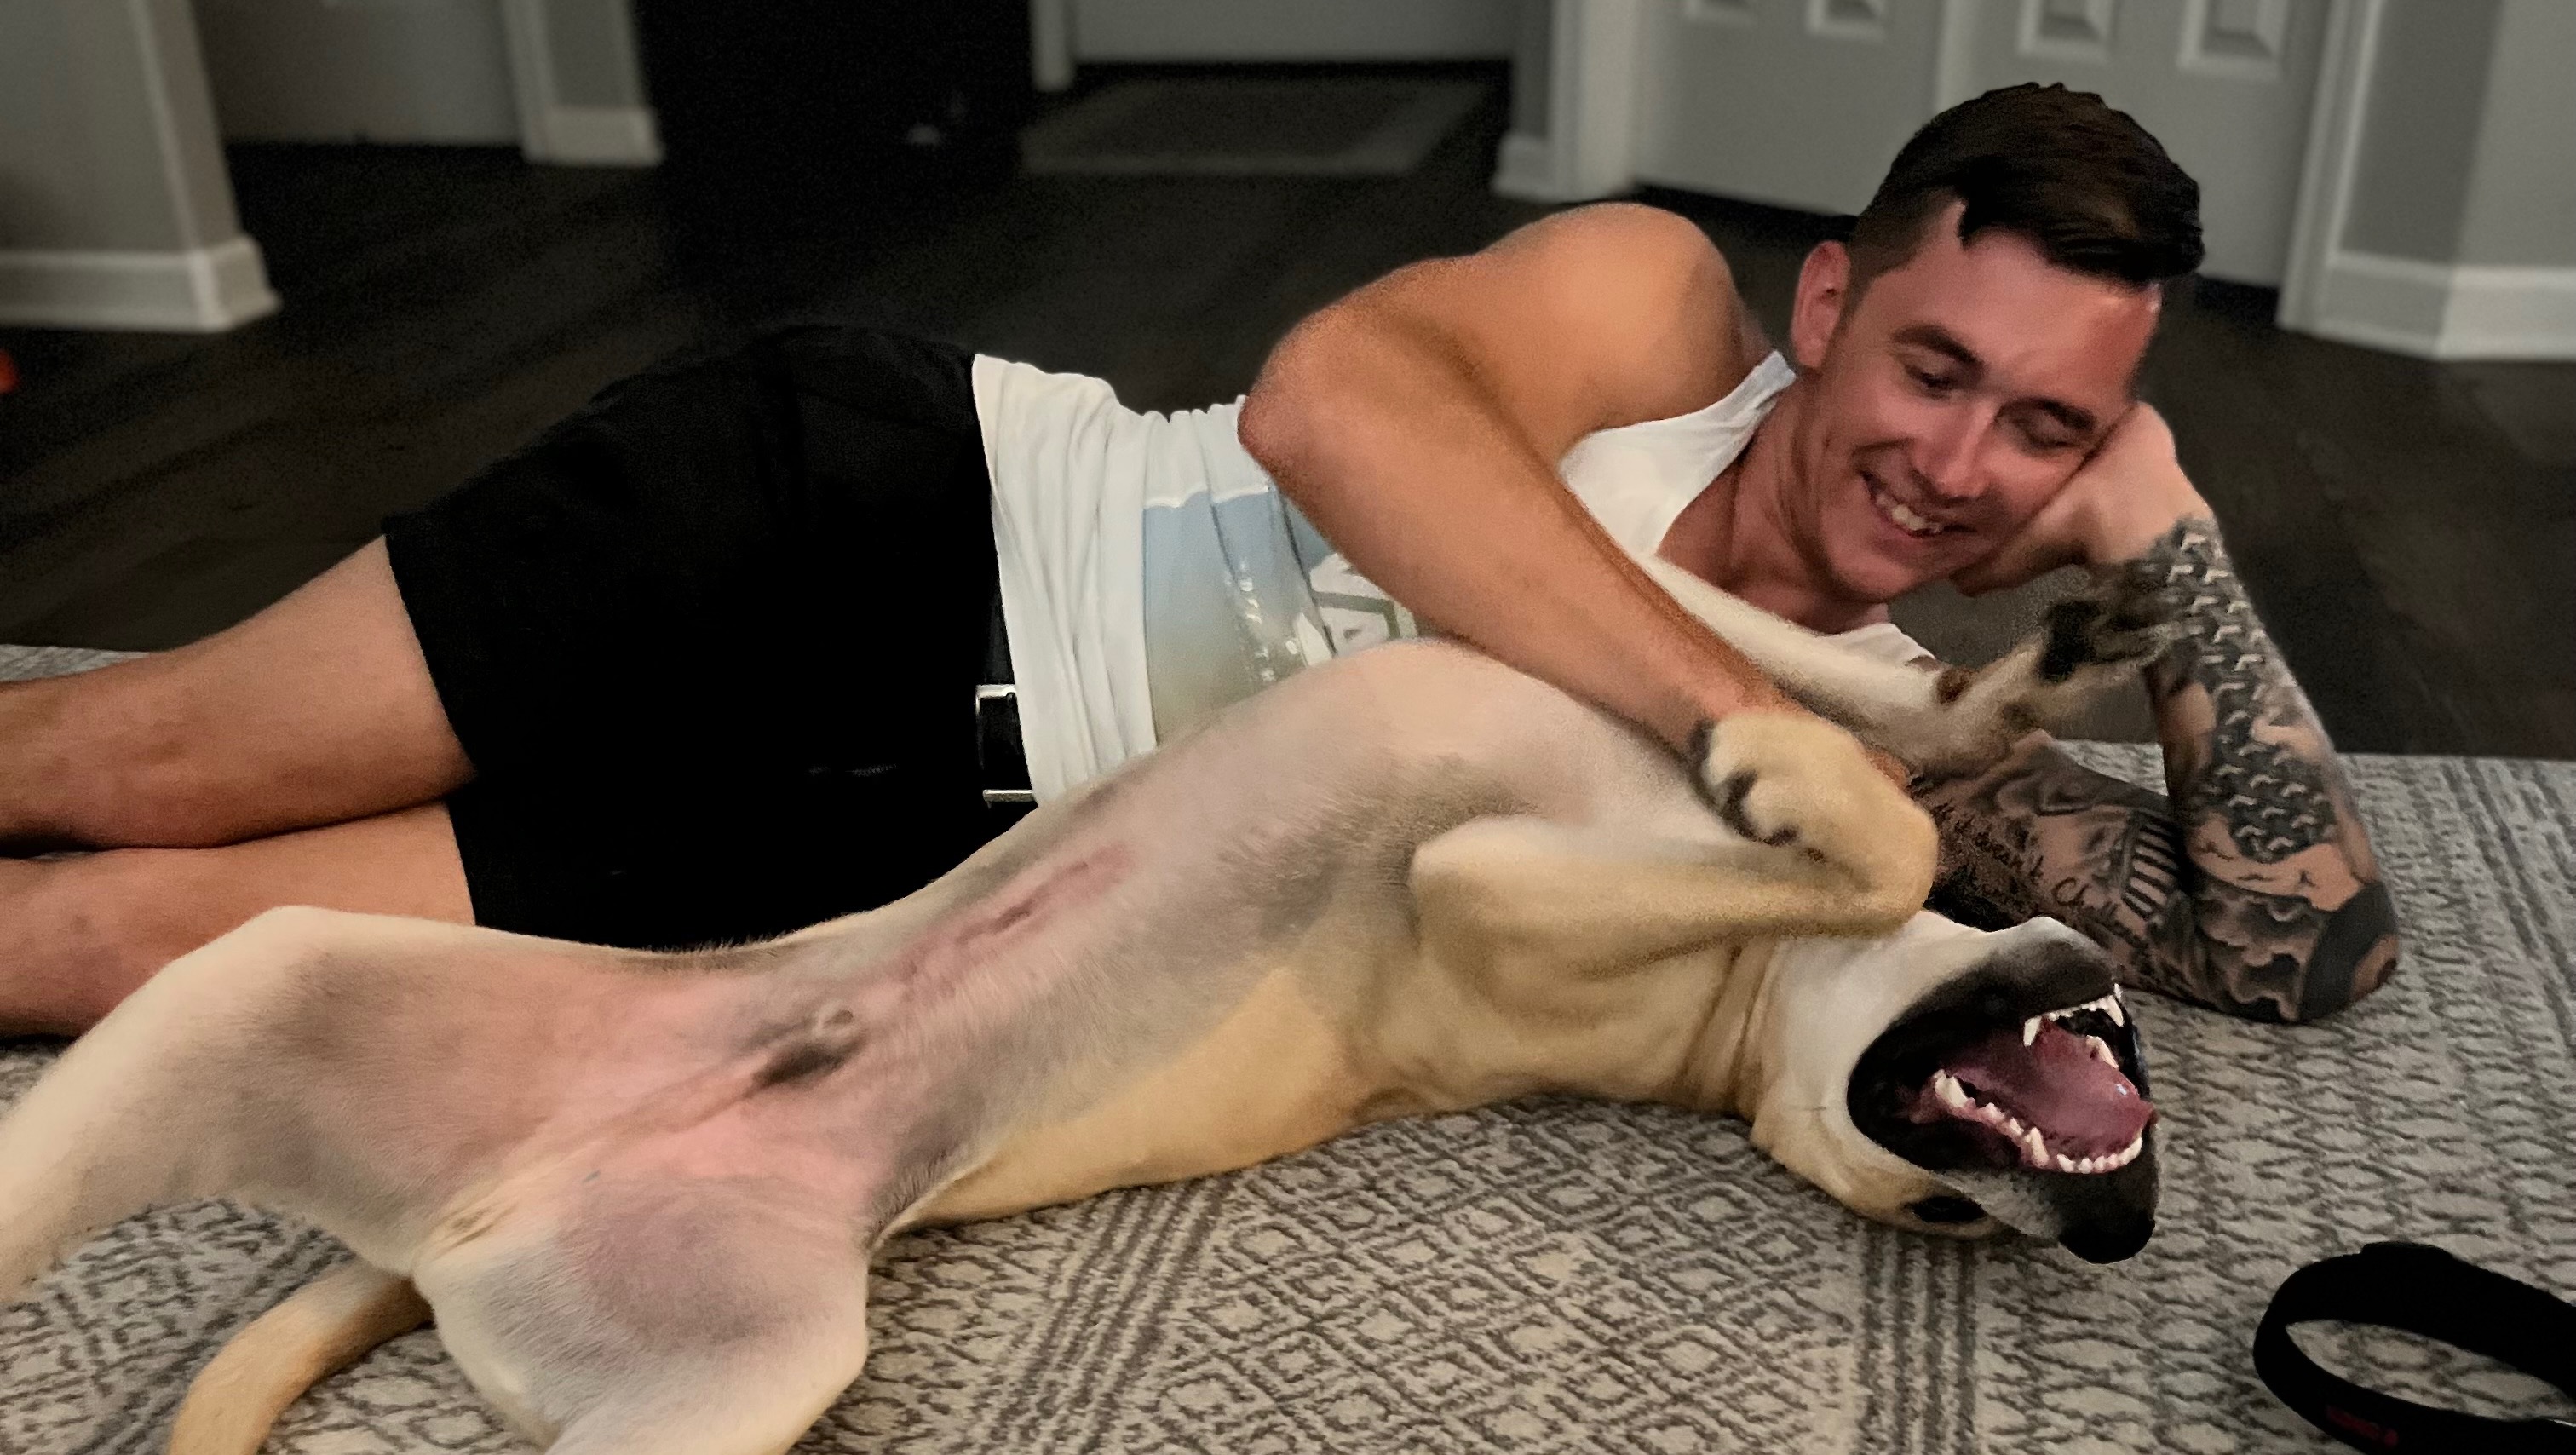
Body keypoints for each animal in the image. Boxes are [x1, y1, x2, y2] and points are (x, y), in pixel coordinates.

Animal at [0, 559, 2170, 1455]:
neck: (1760, 1002)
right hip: (251, 999)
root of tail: (492, 1212)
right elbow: (1840, 700)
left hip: (727, 1368)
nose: (2129, 1220)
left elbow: (1864, 815)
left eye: (1937, 1222)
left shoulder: (1495, 888)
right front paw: (1996, 685)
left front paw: (1833, 770)